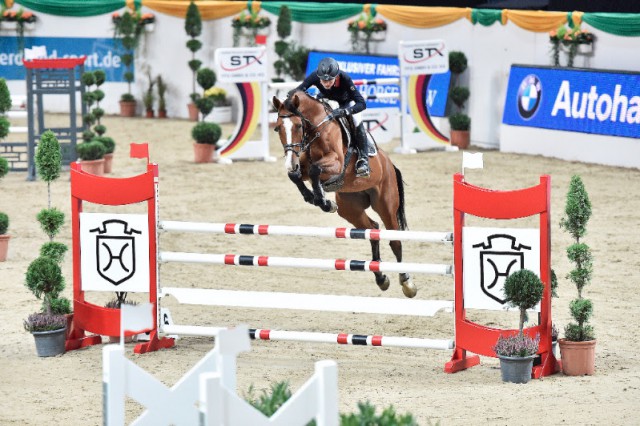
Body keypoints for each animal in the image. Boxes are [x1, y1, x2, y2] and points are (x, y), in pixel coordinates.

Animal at [272, 90, 417, 298]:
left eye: (298, 125)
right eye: (277, 129)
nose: (291, 162)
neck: (316, 129)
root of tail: (389, 163)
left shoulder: (336, 164)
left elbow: (315, 170)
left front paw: (323, 200)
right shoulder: (303, 165)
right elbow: (296, 176)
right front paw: (318, 199)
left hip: (386, 204)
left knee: (395, 240)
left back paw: (406, 282)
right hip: (350, 208)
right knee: (372, 229)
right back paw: (381, 278)